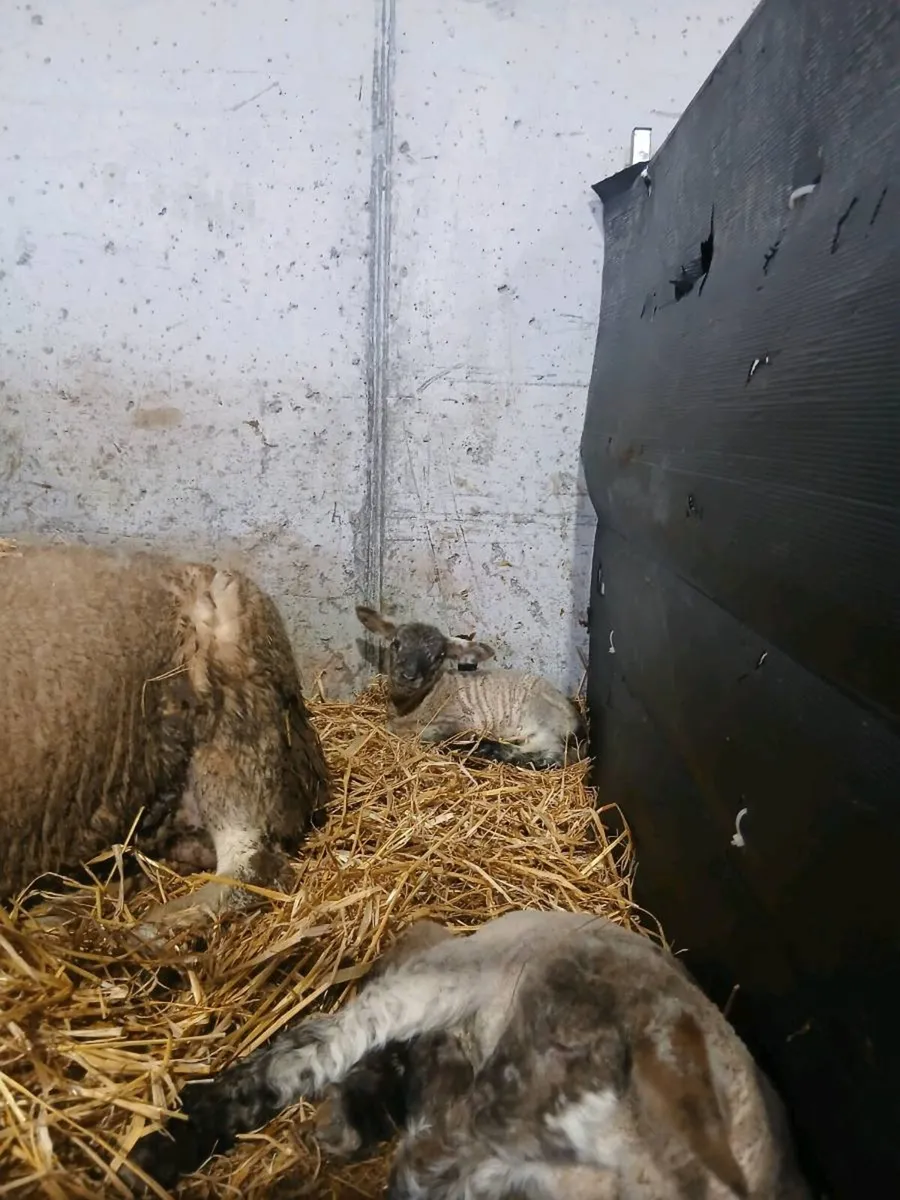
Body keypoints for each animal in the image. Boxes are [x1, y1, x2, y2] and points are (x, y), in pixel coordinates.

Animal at [355, 604, 586, 769]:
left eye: (439, 656)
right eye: (396, 643)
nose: (409, 676)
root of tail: (576, 720)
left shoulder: (459, 721)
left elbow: (427, 734)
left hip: (540, 722)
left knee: (552, 754)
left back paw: (488, 750)